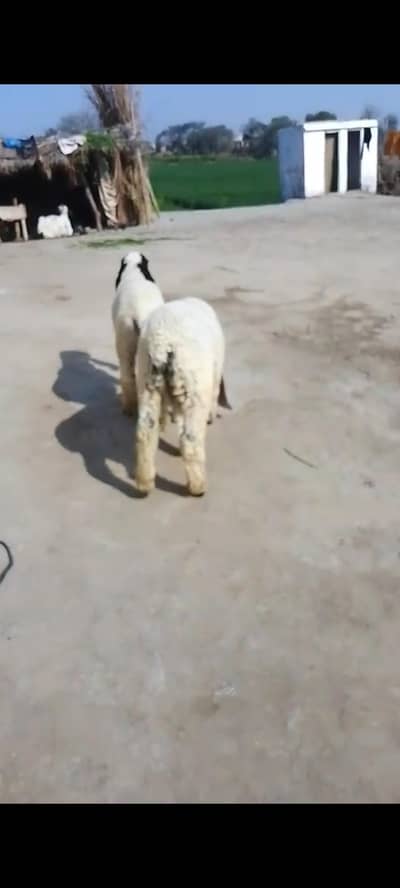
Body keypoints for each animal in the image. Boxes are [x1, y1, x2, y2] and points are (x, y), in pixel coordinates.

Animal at [134, 296, 231, 497]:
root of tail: (163, 342)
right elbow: (214, 396)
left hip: (147, 378)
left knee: (146, 430)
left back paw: (144, 483)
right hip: (193, 382)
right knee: (190, 438)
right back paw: (198, 486)